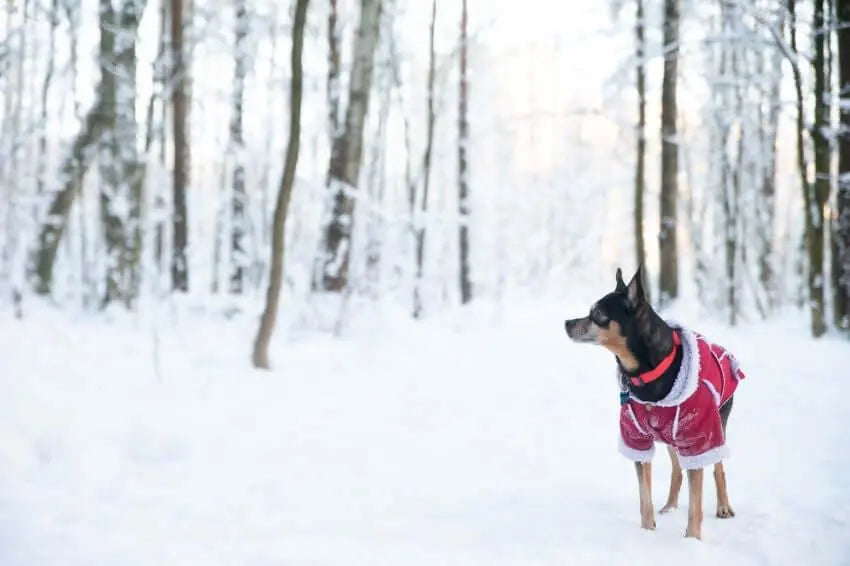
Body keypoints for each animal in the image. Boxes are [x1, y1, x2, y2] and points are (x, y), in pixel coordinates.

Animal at [564, 268, 744, 544]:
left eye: (598, 315)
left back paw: (723, 507)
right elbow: (644, 496)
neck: (648, 375)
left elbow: (696, 503)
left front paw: (692, 540)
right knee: (677, 470)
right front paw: (647, 532)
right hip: (671, 437)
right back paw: (669, 507)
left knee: (718, 468)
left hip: (717, 427)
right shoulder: (638, 439)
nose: (567, 323)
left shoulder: (699, 437)